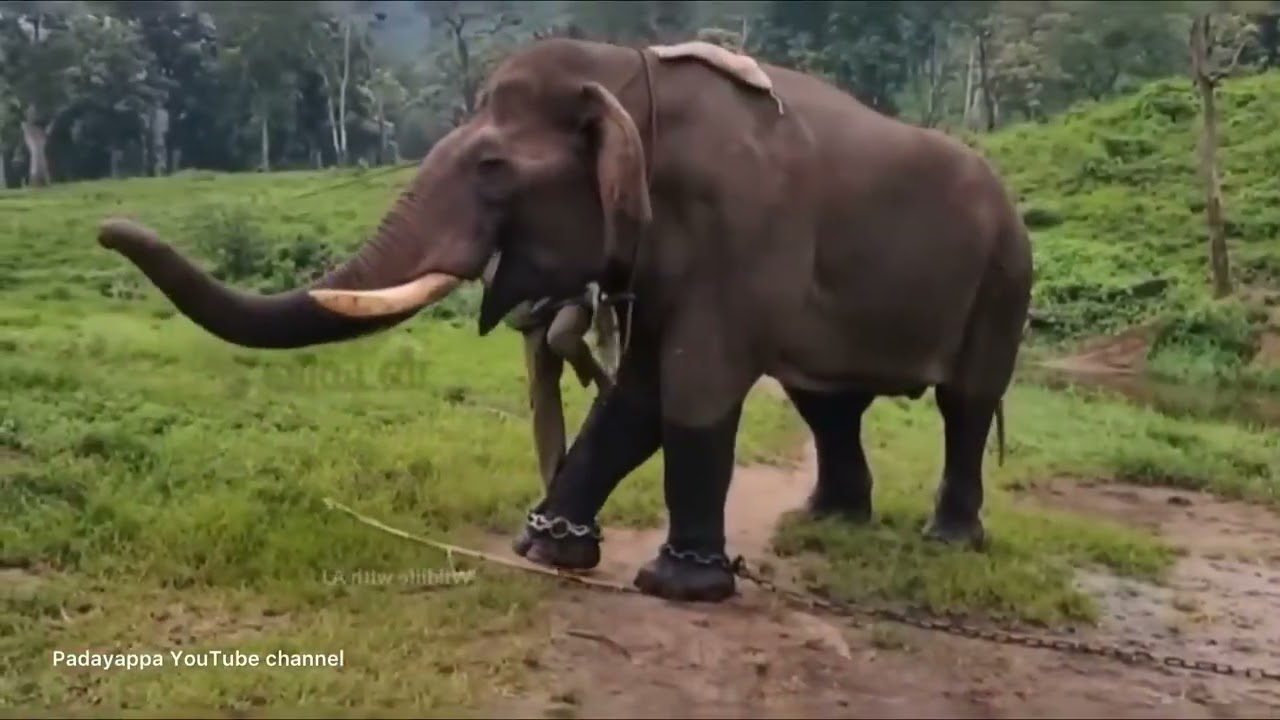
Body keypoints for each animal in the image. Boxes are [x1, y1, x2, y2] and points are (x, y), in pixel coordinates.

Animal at [95, 37, 1034, 604]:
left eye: (493, 169)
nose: (110, 230)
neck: (627, 75)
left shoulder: (745, 226)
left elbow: (693, 386)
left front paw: (677, 585)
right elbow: (640, 392)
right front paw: (545, 550)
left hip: (1005, 279)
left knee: (965, 403)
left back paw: (948, 540)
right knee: (827, 401)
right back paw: (830, 521)